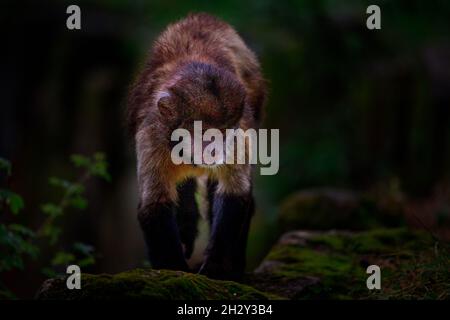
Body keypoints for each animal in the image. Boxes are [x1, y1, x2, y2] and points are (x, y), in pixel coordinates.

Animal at [126, 12, 266, 278]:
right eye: (205, 132)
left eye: (225, 131)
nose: (217, 149)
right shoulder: (153, 132)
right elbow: (153, 204)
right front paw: (173, 271)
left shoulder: (241, 127)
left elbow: (234, 194)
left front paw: (218, 269)